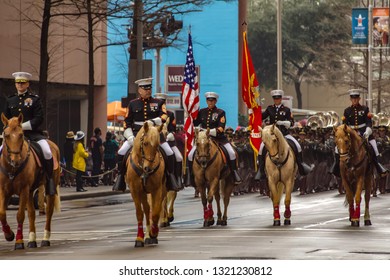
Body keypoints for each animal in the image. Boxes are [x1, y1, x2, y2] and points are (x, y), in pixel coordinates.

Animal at [0, 114, 60, 249]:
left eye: (21, 135)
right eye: (6, 135)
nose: (15, 160)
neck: (12, 168)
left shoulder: (23, 189)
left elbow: (20, 215)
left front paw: (18, 241)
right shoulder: (3, 190)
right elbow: (2, 213)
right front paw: (9, 235)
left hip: (49, 185)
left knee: (49, 211)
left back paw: (45, 239)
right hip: (31, 190)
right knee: (32, 213)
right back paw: (32, 240)